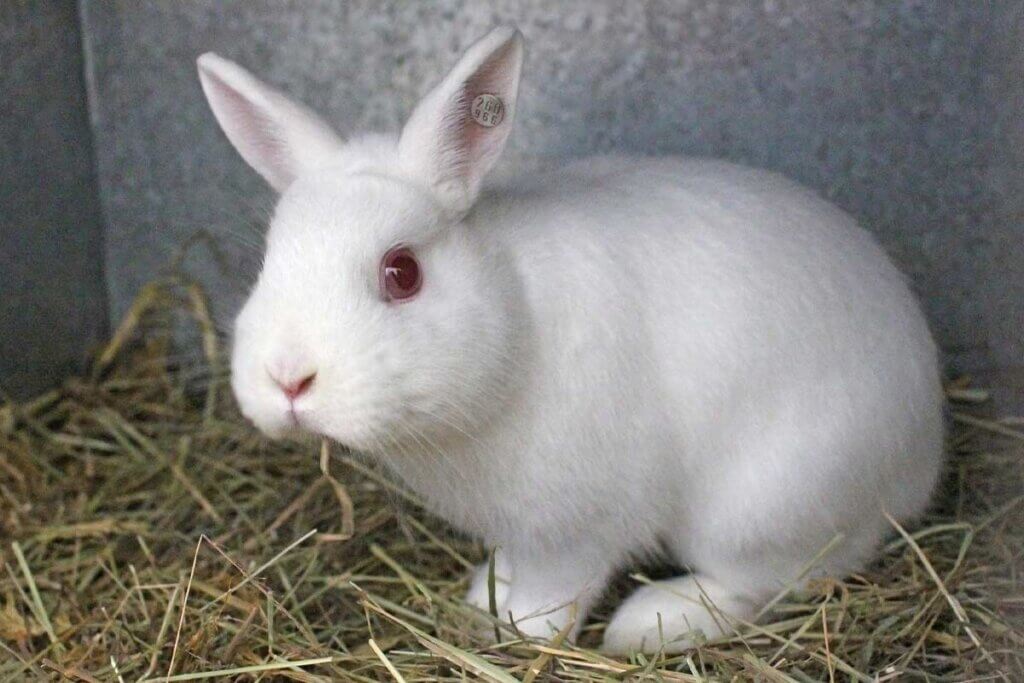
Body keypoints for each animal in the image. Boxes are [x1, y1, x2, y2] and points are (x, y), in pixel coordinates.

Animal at [197, 26, 942, 655]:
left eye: (402, 272)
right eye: (269, 260)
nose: (288, 377)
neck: (516, 314)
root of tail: (922, 450)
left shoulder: (576, 528)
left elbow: (559, 587)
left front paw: (518, 626)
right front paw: (484, 594)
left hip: (761, 507)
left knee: (771, 580)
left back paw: (649, 624)